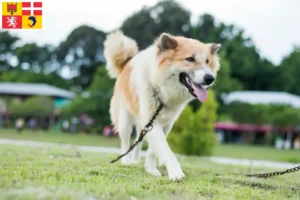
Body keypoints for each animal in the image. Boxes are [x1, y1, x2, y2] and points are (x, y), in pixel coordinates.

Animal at [103, 30, 220, 181]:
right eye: (190, 59)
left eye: (207, 61)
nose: (210, 78)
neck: (162, 90)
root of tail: (127, 63)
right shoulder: (153, 122)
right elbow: (166, 150)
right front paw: (175, 172)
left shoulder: (164, 124)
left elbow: (153, 150)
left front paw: (151, 169)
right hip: (125, 120)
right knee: (126, 140)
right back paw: (127, 161)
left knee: (138, 139)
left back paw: (135, 161)